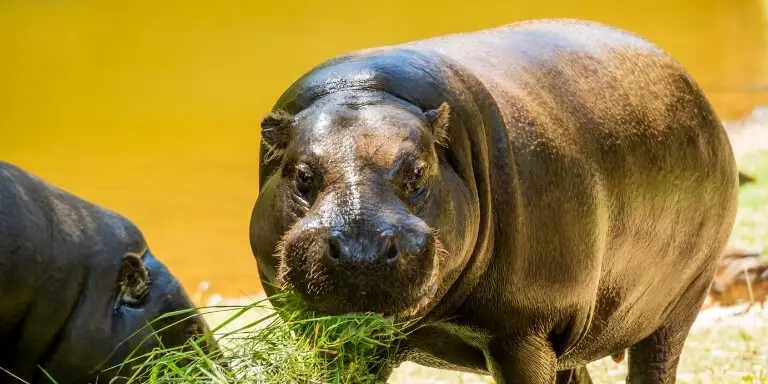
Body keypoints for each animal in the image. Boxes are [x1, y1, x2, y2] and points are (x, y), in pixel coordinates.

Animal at [249, 18, 740, 384]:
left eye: (417, 172)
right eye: (302, 174)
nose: (361, 249)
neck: (364, 94)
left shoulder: (522, 334)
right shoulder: (334, 335)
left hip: (680, 303)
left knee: (655, 362)